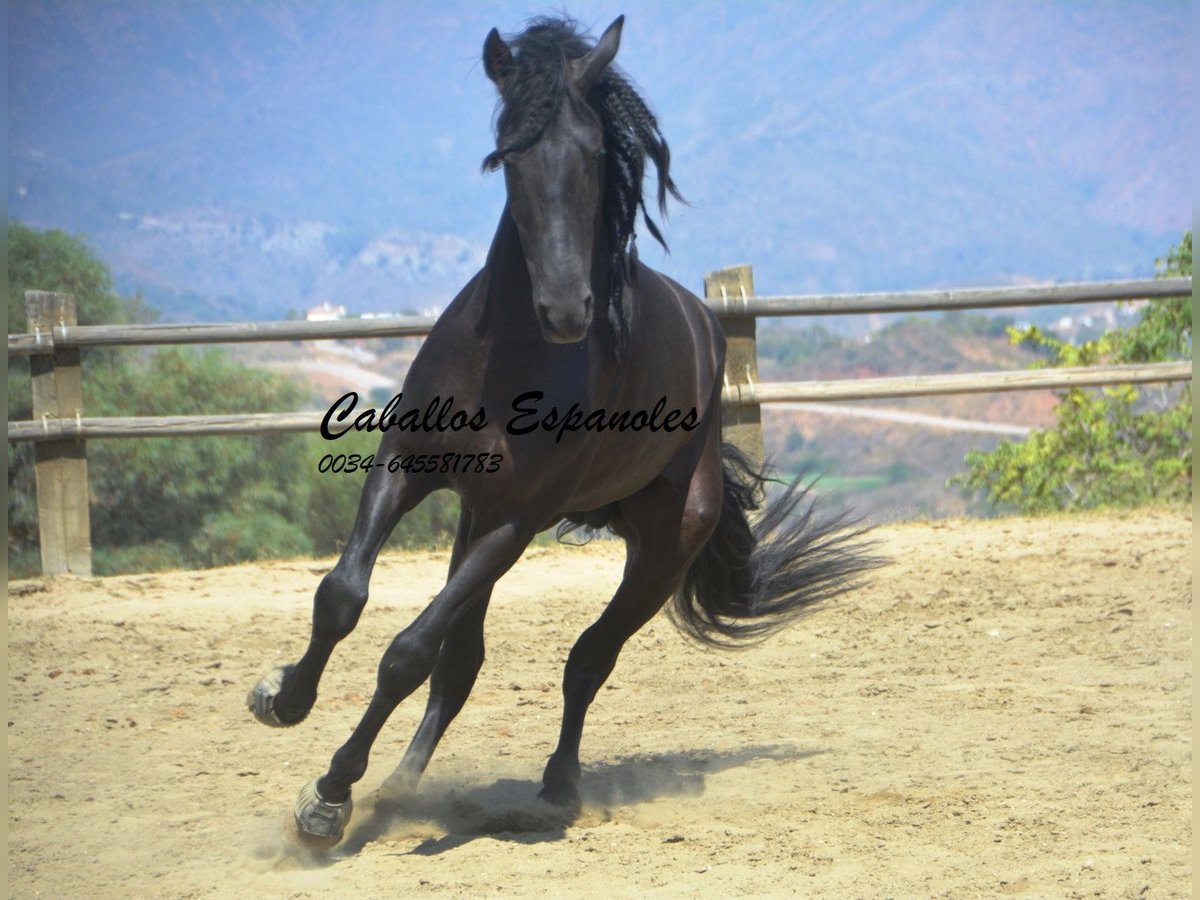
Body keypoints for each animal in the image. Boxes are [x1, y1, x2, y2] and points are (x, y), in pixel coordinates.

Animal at [246, 12, 883, 844]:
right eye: (510, 153)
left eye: (592, 153)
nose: (565, 309)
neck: (507, 362)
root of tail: (707, 328)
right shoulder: (407, 466)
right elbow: (343, 596)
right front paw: (283, 699)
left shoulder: (515, 522)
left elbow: (408, 651)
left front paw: (328, 796)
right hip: (478, 520)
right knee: (465, 661)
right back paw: (402, 784)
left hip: (656, 554)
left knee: (585, 659)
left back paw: (552, 788)